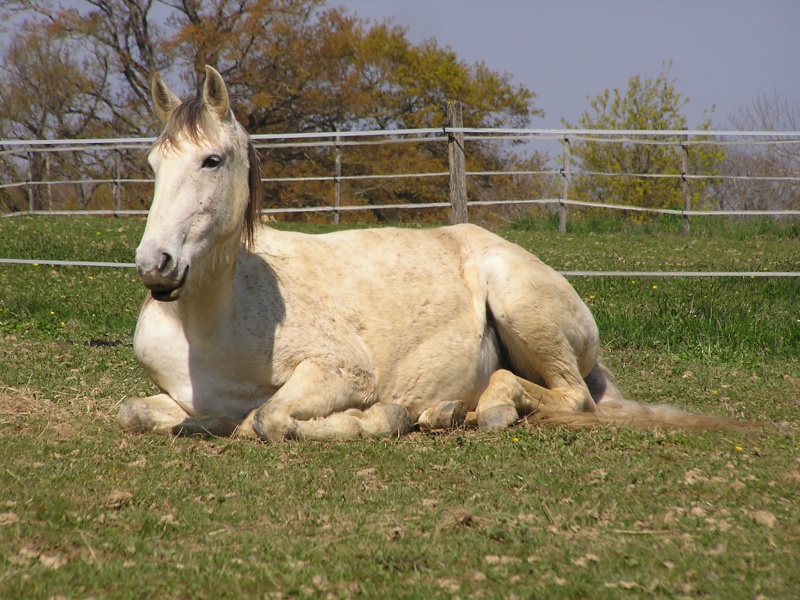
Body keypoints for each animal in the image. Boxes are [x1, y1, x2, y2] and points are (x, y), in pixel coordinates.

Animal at [119, 67, 752, 440]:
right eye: (152, 165)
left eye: (212, 160)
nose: (155, 266)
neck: (213, 324)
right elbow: (138, 412)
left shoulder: (341, 373)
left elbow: (269, 419)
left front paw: (379, 418)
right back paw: (448, 412)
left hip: (523, 306)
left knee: (569, 397)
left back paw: (486, 407)